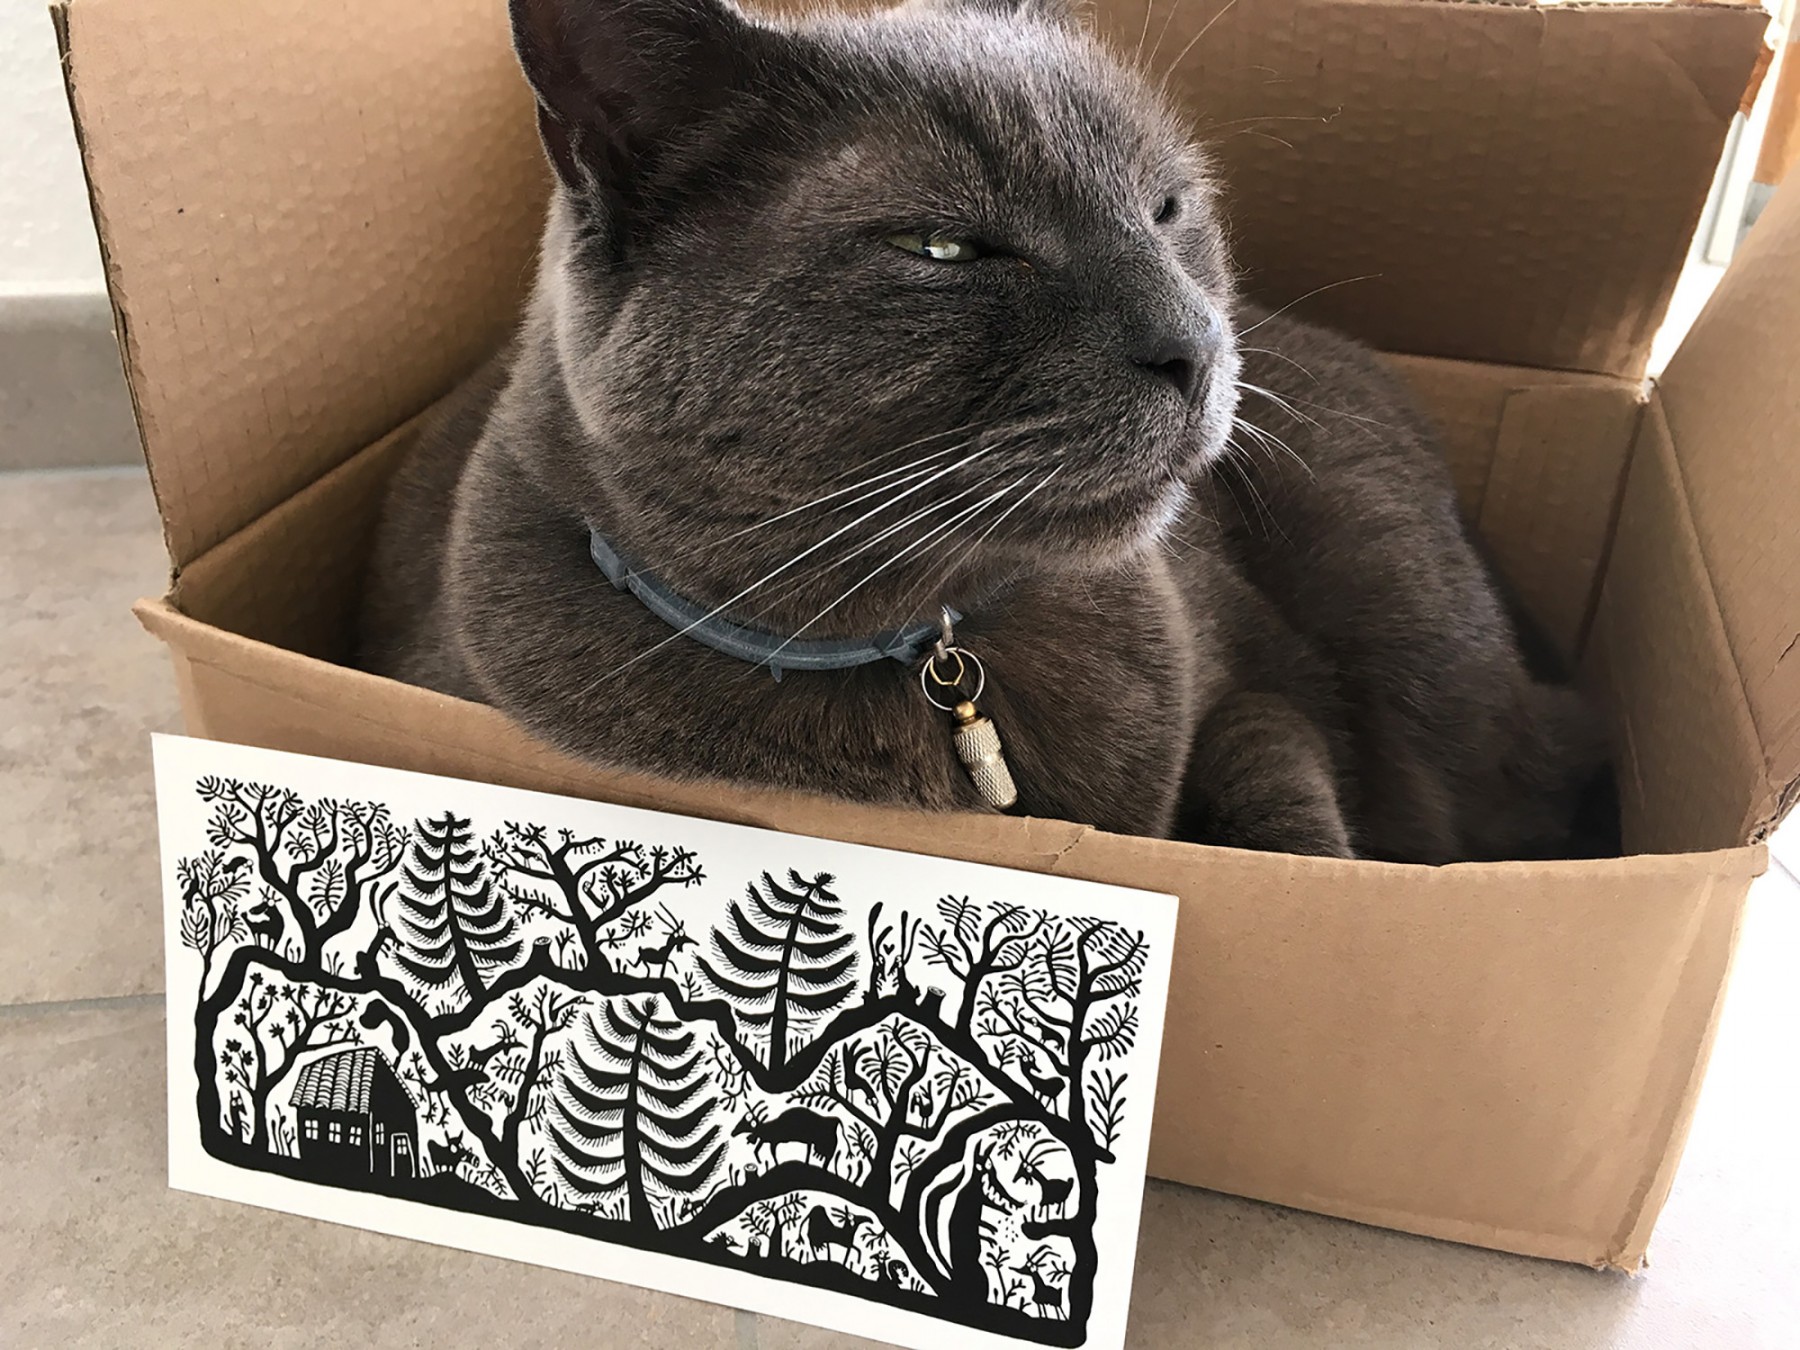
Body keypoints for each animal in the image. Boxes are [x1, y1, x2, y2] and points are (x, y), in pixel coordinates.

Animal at [358, 0, 1612, 863]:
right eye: (948, 249)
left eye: (1167, 207)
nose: (1197, 344)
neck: (928, 652)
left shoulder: (1257, 690)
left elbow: (1289, 810)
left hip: (1414, 621)